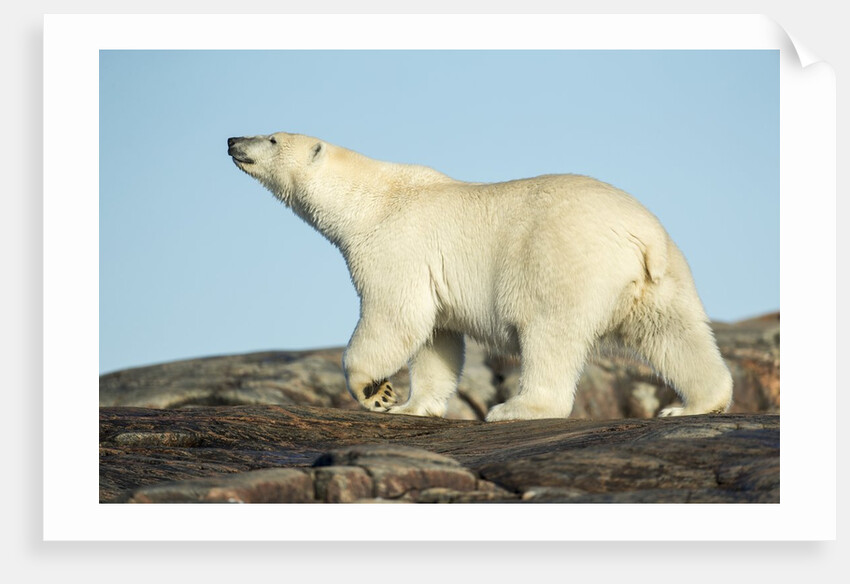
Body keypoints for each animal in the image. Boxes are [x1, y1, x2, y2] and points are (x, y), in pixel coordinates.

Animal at [227, 132, 733, 421]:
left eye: (271, 139)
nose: (232, 139)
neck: (370, 199)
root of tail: (639, 234)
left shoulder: (396, 244)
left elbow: (395, 315)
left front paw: (375, 391)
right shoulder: (431, 272)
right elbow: (436, 339)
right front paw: (414, 406)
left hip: (563, 259)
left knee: (549, 333)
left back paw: (516, 409)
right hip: (661, 277)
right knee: (674, 333)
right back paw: (690, 404)